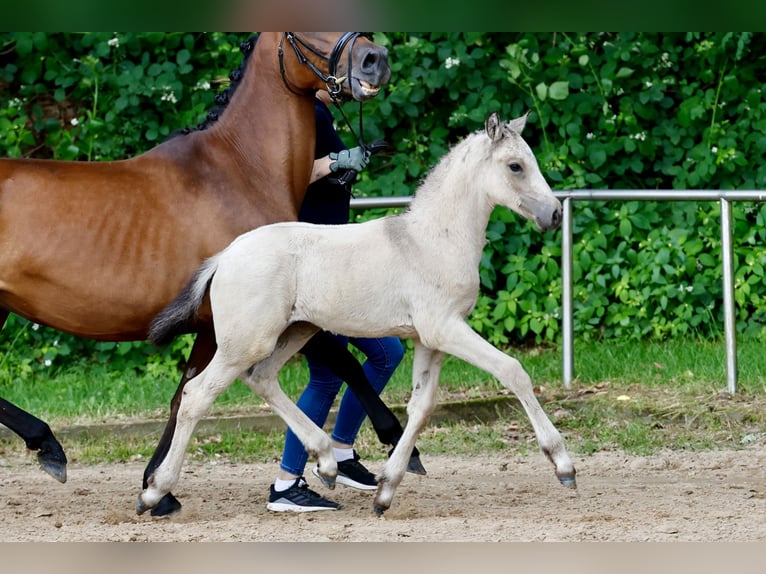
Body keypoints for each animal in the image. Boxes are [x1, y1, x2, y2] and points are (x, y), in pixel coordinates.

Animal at [0, 32, 423, 516]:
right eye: (299, 30)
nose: (376, 60)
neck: (238, 171)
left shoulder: (212, 328)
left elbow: (181, 396)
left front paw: (155, 490)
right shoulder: (256, 318)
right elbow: (346, 364)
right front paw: (397, 444)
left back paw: (49, 446)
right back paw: (48, 446)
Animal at [140, 111, 577, 516]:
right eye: (515, 166)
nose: (554, 214)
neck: (433, 240)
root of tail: (224, 256)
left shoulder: (428, 340)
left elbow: (421, 407)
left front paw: (386, 491)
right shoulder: (445, 329)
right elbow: (512, 370)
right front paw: (562, 464)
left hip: (296, 331)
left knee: (261, 378)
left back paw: (327, 462)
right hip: (244, 342)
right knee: (196, 395)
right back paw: (154, 492)